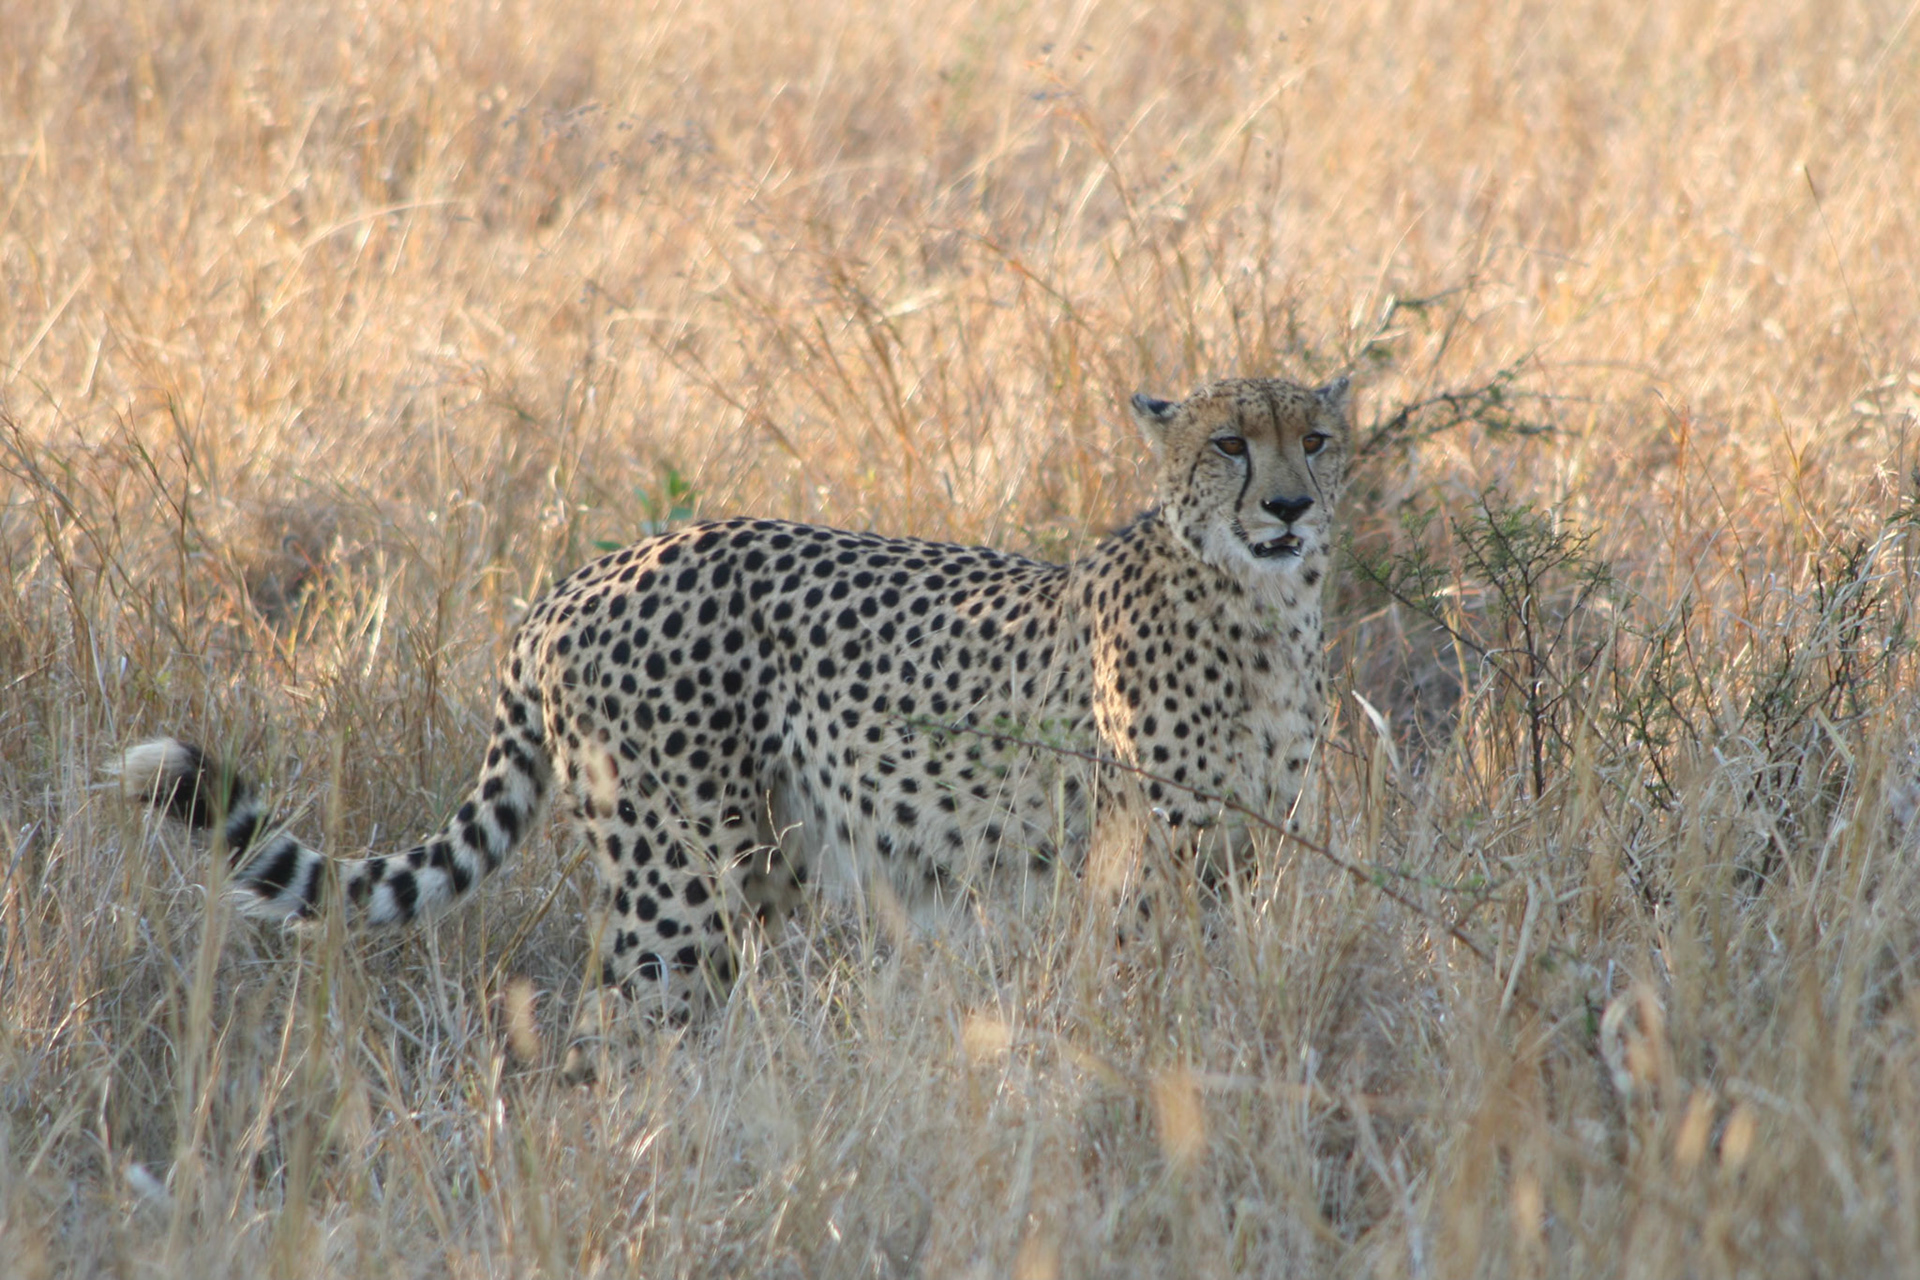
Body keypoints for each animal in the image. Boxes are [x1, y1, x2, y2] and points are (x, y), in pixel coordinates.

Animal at [115, 375, 1353, 1069]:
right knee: (609, 1026)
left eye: (1317, 439)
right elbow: (1155, 1001)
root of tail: (580, 576)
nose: (1290, 505)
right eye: (1230, 443)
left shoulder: (1238, 855)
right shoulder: (1146, 856)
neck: (1258, 601)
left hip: (759, 861)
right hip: (676, 875)